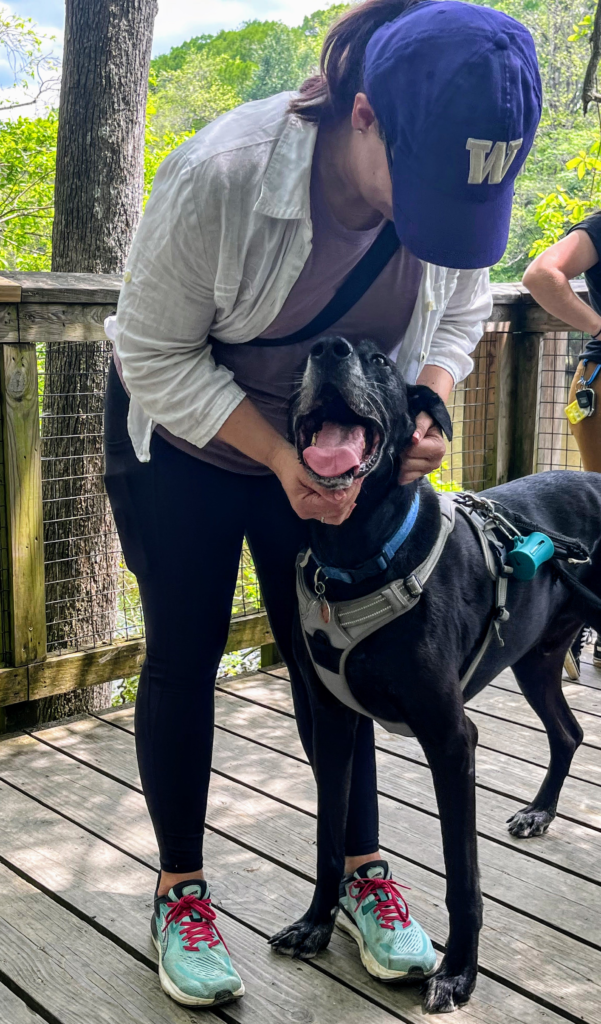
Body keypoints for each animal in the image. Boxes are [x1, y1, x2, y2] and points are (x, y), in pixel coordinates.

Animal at [270, 337, 601, 1015]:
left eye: (380, 361)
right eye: (307, 357)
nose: (329, 347)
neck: (359, 555)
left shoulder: (451, 740)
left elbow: (462, 875)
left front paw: (459, 973)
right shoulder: (333, 724)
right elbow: (327, 837)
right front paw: (316, 923)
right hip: (534, 660)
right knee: (569, 733)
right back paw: (539, 811)